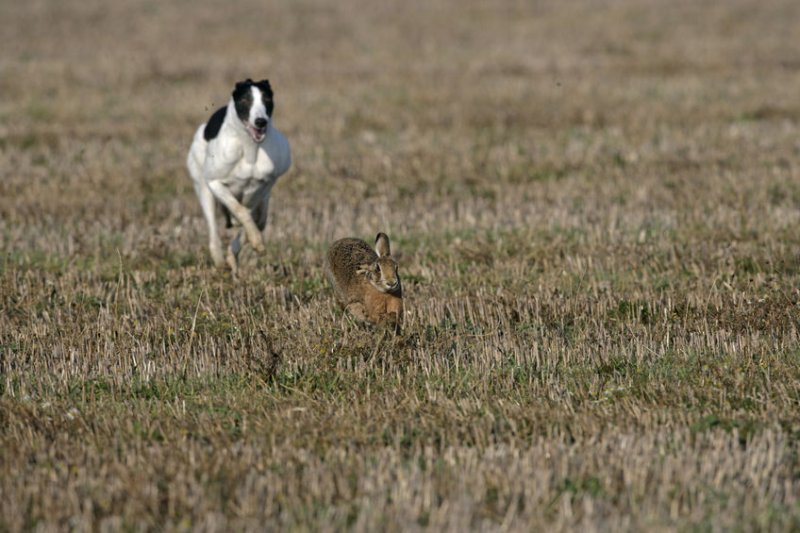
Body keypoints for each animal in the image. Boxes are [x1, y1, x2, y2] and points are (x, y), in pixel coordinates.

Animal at [187, 78, 290, 274]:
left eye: (266, 99)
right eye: (245, 100)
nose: (261, 122)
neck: (249, 149)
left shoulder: (265, 184)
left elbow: (251, 215)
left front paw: (251, 243)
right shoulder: (214, 183)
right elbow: (241, 210)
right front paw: (256, 240)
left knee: (259, 219)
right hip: (203, 190)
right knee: (214, 231)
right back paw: (220, 261)